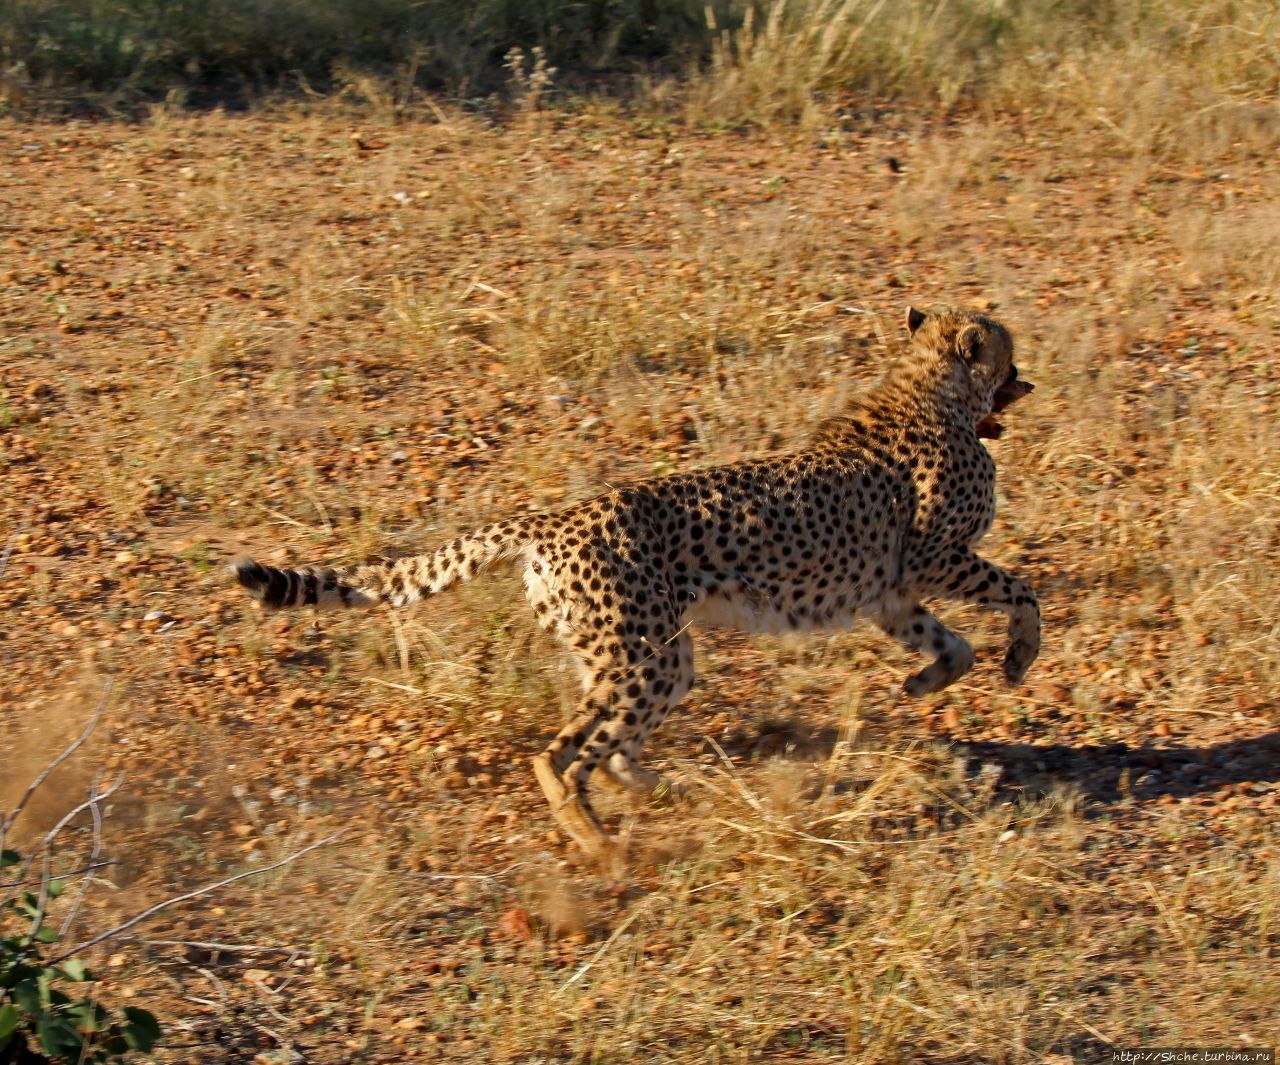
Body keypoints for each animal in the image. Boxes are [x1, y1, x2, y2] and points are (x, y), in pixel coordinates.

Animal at [235, 305, 1039, 855]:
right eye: (1007, 357)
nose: (1027, 381)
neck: (928, 386)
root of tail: (554, 518)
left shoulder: (890, 594)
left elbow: (951, 644)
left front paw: (923, 683)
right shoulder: (932, 558)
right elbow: (1021, 590)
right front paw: (1019, 660)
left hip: (646, 655)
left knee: (607, 741)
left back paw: (651, 790)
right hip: (645, 654)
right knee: (564, 753)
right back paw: (596, 839)